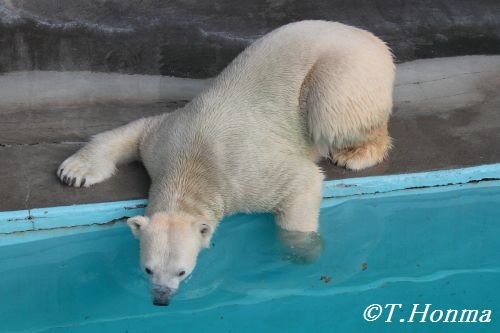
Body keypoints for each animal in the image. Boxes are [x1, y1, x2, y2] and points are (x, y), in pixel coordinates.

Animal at [56, 20, 394, 304]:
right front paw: (74, 172)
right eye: (148, 268)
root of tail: (374, 39)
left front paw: (299, 252)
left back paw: (355, 155)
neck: (193, 163)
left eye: (182, 271)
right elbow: (133, 133)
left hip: (344, 70)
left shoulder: (242, 175)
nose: (161, 297)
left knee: (330, 113)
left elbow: (300, 182)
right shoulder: (166, 140)